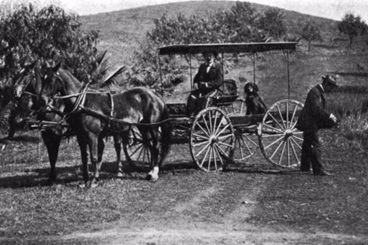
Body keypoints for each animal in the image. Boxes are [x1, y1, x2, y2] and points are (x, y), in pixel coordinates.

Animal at [36, 62, 171, 186]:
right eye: (42, 79)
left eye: (51, 79)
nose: (42, 100)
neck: (83, 102)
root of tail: (155, 95)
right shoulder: (80, 136)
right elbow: (84, 158)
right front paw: (86, 179)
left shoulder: (93, 135)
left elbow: (94, 157)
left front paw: (93, 180)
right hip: (143, 127)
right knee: (150, 146)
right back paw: (150, 171)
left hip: (153, 127)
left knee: (156, 146)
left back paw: (154, 173)